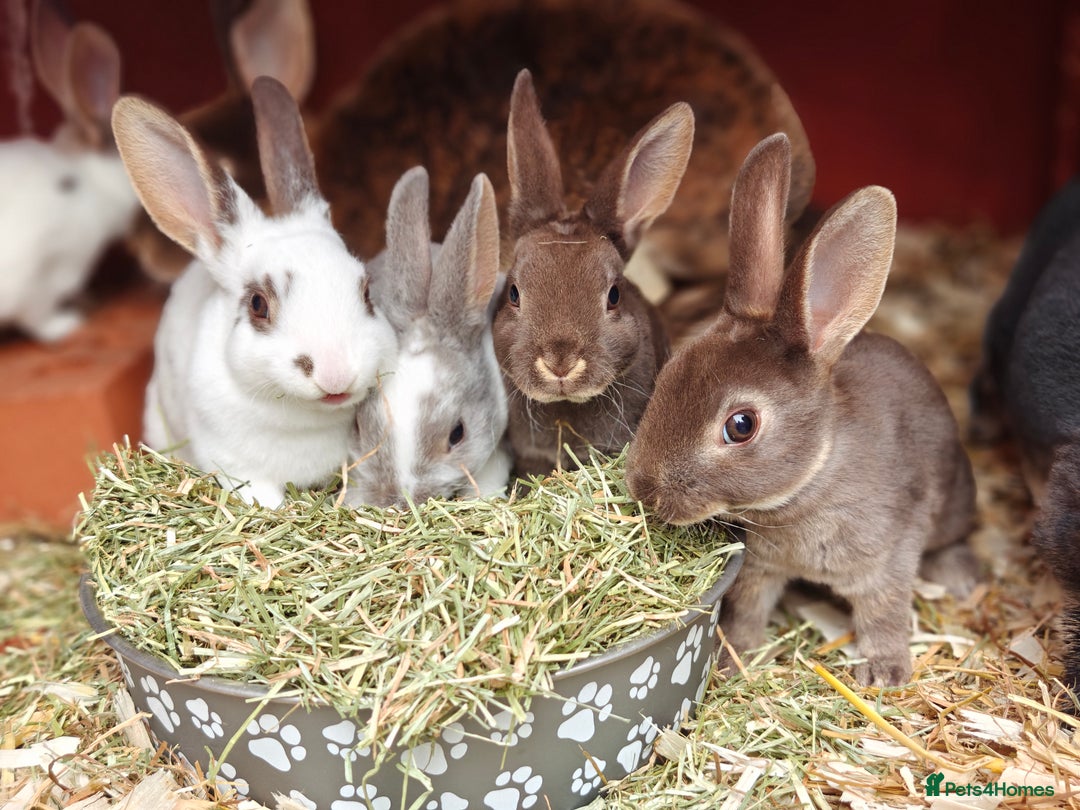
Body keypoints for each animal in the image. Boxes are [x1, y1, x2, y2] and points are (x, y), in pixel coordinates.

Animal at [625, 133, 978, 687]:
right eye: (669, 373)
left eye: (741, 425)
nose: (644, 488)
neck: (814, 477)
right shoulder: (762, 568)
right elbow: (749, 608)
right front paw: (734, 655)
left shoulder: (888, 559)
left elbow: (884, 613)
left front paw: (886, 672)